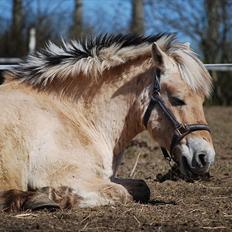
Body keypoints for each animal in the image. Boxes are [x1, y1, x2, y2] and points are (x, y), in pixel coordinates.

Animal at [0, 33, 216, 211]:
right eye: (177, 99)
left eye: (202, 100)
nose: (205, 157)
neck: (76, 116)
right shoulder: (65, 174)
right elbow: (119, 192)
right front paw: (59, 195)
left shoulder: (104, 176)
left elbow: (141, 187)